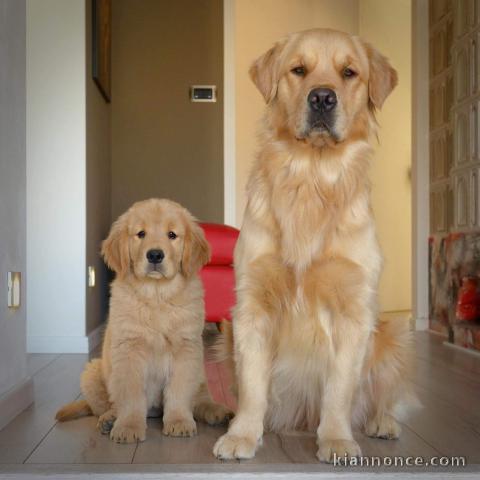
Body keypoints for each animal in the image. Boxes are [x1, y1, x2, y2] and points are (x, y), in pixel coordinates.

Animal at [55, 198, 232, 442]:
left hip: (200, 371)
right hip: (92, 373)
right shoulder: (129, 350)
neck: (156, 296)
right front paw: (128, 427)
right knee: (106, 405)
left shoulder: (186, 349)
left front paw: (179, 421)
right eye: (140, 234)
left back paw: (217, 411)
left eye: (172, 235)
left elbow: (179, 391)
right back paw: (110, 419)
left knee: (200, 399)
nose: (155, 255)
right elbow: (131, 396)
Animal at [214, 29, 416, 462]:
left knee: (381, 397)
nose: (322, 98)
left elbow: (340, 388)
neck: (312, 176)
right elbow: (252, 385)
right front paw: (242, 434)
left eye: (349, 72)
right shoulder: (252, 305)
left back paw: (382, 422)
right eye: (298, 70)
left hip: (391, 336)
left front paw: (337, 439)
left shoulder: (354, 311)